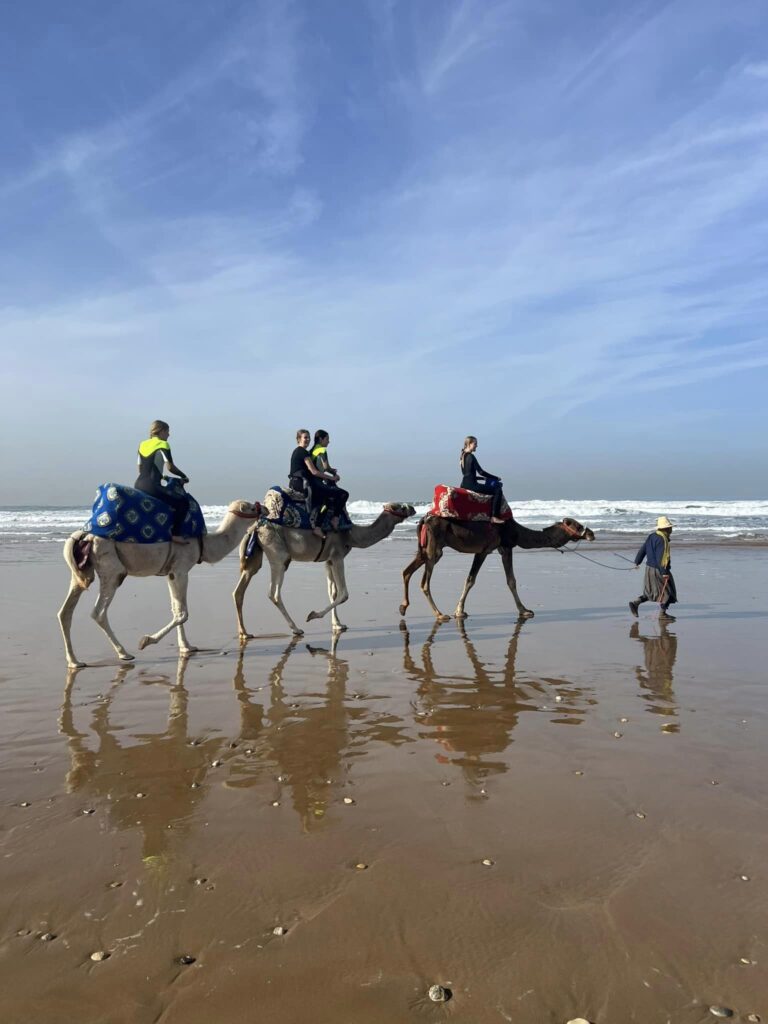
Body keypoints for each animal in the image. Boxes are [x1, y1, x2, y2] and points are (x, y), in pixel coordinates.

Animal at [57, 497, 262, 671]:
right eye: (252, 508)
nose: (265, 509)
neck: (202, 544)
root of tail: (84, 536)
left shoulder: (171, 573)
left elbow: (176, 610)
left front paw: (187, 647)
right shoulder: (181, 569)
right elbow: (183, 613)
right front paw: (146, 641)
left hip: (82, 573)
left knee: (65, 612)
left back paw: (75, 662)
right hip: (111, 570)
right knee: (98, 612)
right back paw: (124, 653)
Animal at [399, 483, 598, 618]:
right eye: (577, 525)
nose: (591, 533)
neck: (515, 530)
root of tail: (425, 518)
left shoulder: (502, 548)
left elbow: (510, 580)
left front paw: (524, 610)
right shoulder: (488, 549)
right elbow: (473, 580)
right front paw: (459, 611)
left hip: (426, 549)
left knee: (407, 571)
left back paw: (403, 607)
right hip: (434, 547)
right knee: (424, 582)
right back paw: (440, 614)